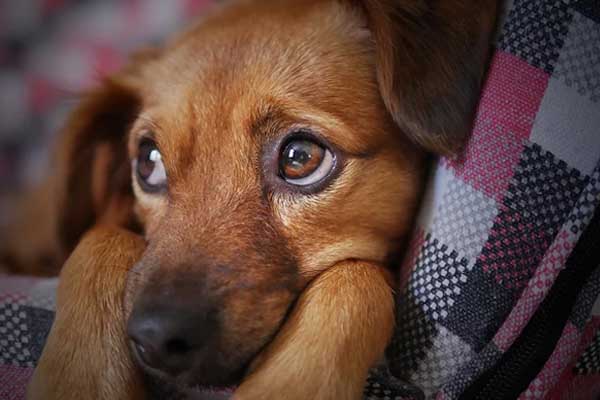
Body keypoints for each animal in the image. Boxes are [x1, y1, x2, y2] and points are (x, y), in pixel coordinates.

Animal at [2, 0, 496, 398]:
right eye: (149, 161)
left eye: (300, 157)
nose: (156, 339)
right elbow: (102, 238)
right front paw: (81, 378)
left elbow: (356, 278)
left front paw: (289, 383)